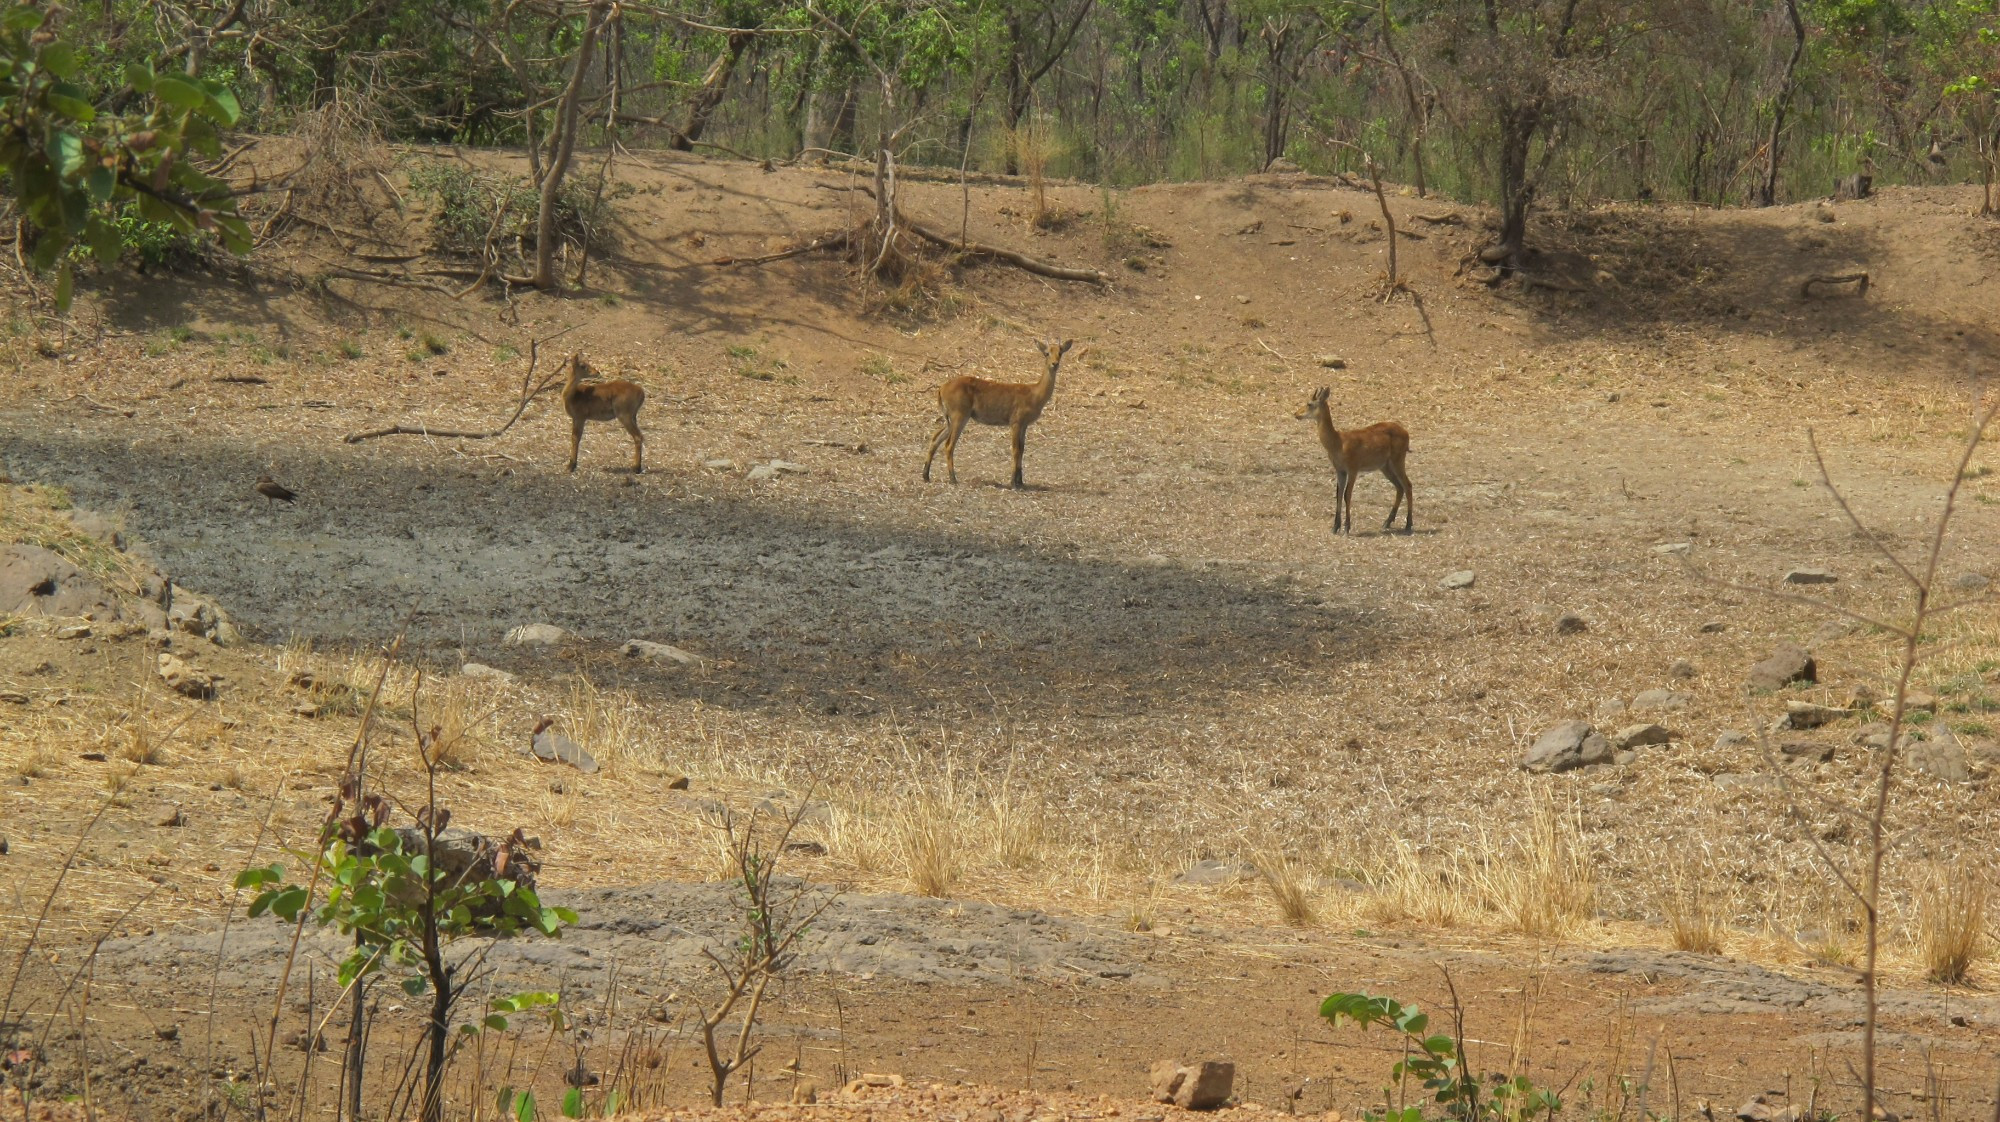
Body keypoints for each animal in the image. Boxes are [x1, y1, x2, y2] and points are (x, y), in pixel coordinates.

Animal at [924, 336, 1080, 486]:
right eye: (1047, 353)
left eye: (1060, 352)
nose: (1055, 363)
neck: (1034, 394)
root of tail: (941, 388)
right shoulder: (1015, 422)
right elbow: (1015, 450)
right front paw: (1013, 483)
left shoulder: (1024, 425)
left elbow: (1022, 449)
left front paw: (1021, 482)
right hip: (959, 416)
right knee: (948, 445)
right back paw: (953, 479)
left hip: (951, 419)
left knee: (935, 438)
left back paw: (926, 476)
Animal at [1288, 388, 1416, 536]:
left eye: (1309, 403)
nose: (1296, 414)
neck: (1338, 442)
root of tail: (1406, 432)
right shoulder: (1340, 470)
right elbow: (1338, 494)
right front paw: (1335, 527)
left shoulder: (1353, 469)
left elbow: (1347, 495)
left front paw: (1346, 528)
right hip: (1385, 466)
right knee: (1399, 487)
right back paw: (1386, 523)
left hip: (1398, 460)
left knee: (1408, 485)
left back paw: (1408, 525)